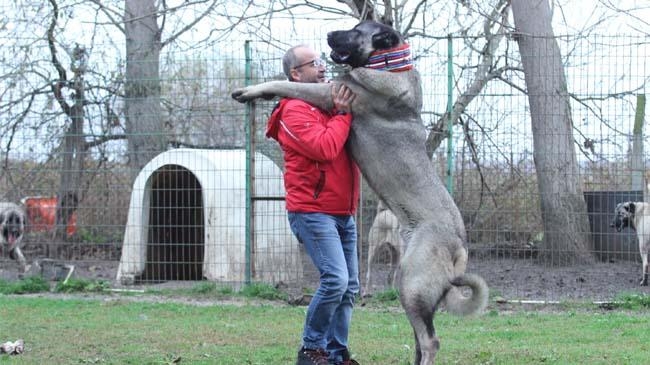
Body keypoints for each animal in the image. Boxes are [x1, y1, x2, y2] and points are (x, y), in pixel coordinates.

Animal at [230, 20, 484, 364]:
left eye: (355, 31)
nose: (328, 35)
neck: (387, 63)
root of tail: (460, 245)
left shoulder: (329, 93)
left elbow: (287, 84)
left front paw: (250, 91)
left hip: (413, 283)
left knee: (431, 341)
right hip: (407, 282)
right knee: (420, 337)